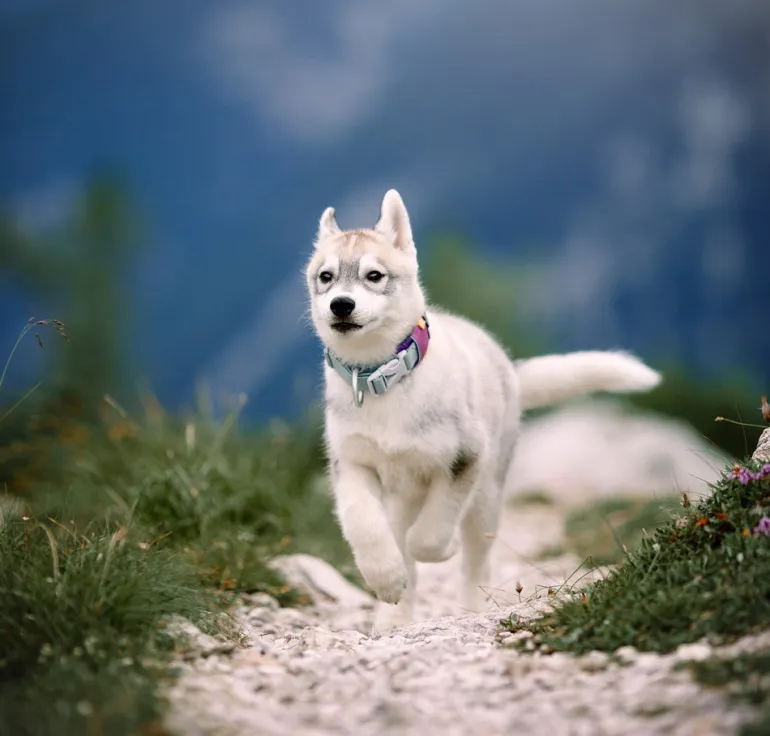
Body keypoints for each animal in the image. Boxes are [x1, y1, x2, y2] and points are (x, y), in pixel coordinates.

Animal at [305, 189, 661, 633]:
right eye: (326, 277)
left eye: (374, 275)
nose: (341, 305)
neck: (382, 379)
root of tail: (509, 368)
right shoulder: (352, 463)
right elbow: (363, 523)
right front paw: (385, 578)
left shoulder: (465, 457)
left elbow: (432, 534)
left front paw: (438, 549)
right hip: (405, 495)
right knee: (403, 541)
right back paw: (394, 617)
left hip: (487, 494)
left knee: (476, 559)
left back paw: (471, 607)